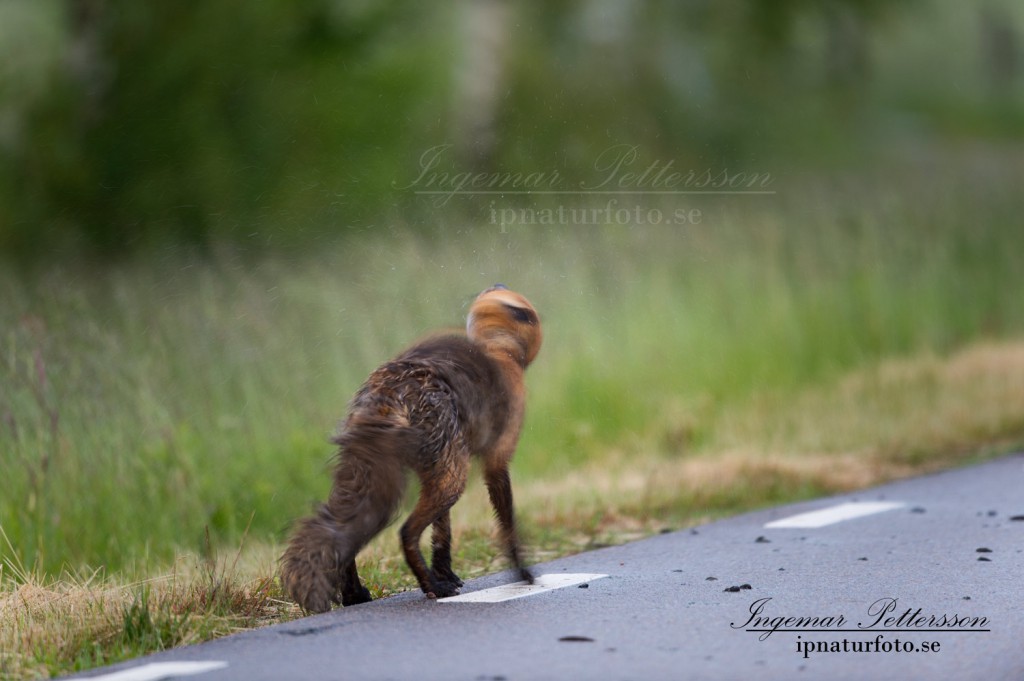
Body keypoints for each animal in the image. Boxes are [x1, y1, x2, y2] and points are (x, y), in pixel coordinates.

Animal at [276, 280, 540, 610]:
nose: (496, 283)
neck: (499, 353)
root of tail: (387, 391)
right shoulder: (495, 460)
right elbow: (507, 526)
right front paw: (522, 572)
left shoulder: (440, 469)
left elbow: (442, 536)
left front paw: (447, 573)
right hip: (451, 480)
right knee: (405, 533)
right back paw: (431, 588)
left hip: (384, 479)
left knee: (340, 533)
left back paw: (356, 595)